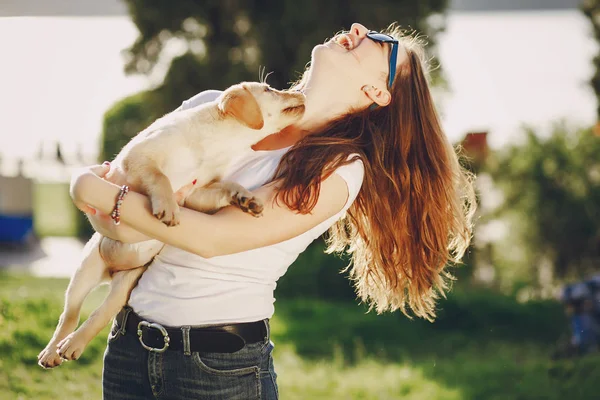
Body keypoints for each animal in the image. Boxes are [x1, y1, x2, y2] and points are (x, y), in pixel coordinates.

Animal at [37, 82, 304, 368]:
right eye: (269, 89)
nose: (300, 92)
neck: (219, 144)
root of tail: (109, 271)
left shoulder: (198, 194)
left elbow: (226, 186)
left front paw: (246, 197)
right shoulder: (138, 157)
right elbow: (160, 177)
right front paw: (167, 206)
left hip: (124, 285)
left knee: (99, 313)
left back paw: (72, 345)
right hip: (83, 272)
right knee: (69, 316)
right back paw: (54, 351)